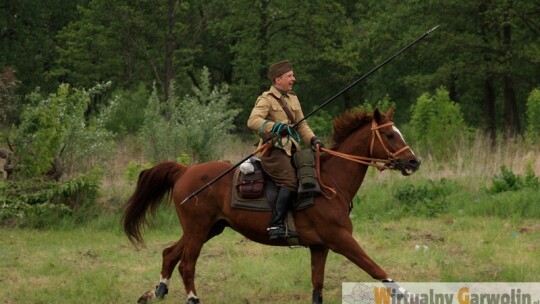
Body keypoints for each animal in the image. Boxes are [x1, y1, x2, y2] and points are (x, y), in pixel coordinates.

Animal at [123, 108, 422, 302]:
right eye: (391, 135)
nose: (414, 161)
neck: (330, 181)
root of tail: (185, 170)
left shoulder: (320, 246)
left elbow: (317, 286)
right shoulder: (341, 239)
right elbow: (376, 269)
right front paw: (409, 294)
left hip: (210, 228)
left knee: (169, 253)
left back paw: (157, 290)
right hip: (198, 230)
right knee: (186, 264)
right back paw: (192, 298)